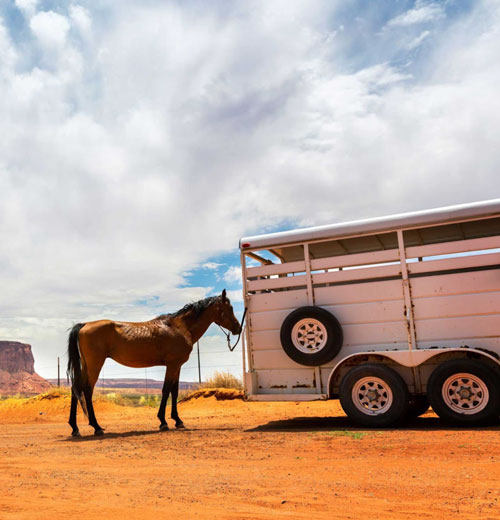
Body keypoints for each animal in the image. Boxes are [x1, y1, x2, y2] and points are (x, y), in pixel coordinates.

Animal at [67, 290, 242, 436]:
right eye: (229, 308)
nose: (238, 328)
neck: (180, 327)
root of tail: (84, 325)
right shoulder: (172, 365)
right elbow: (166, 390)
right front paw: (163, 422)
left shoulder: (177, 366)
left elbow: (174, 391)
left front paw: (178, 421)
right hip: (95, 365)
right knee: (87, 390)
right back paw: (96, 427)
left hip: (86, 365)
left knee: (76, 388)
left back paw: (75, 428)